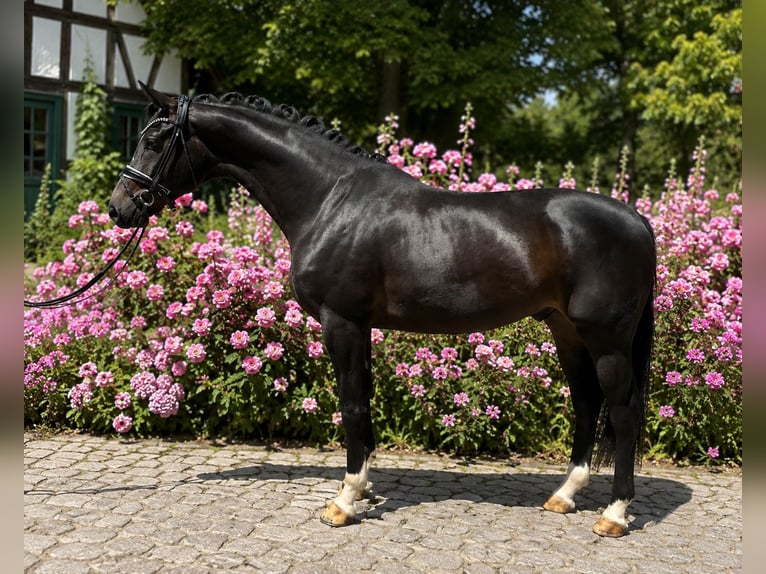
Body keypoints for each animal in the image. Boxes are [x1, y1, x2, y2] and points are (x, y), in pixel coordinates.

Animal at [109, 83, 656, 538]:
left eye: (155, 140)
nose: (119, 208)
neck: (330, 199)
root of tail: (637, 219)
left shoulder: (342, 322)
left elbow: (351, 404)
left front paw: (344, 501)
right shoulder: (361, 327)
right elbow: (364, 403)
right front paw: (364, 486)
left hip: (606, 340)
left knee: (623, 412)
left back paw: (614, 515)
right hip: (567, 332)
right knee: (586, 404)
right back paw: (565, 495)